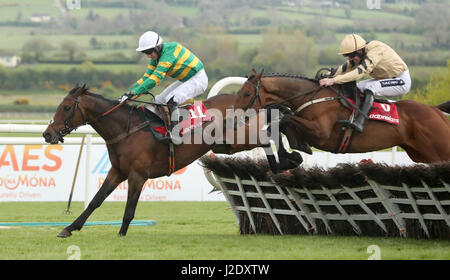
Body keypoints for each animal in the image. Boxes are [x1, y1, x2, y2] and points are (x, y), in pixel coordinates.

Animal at [41, 85, 296, 236]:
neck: (126, 130)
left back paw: (288, 160)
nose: (47, 134)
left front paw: (121, 234)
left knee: (267, 137)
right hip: (227, 144)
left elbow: (129, 210)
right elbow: (96, 200)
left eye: (66, 107)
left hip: (239, 138)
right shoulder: (117, 172)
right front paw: (69, 228)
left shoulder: (137, 176)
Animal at [232, 68, 450, 163]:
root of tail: (436, 111)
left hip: (439, 152)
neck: (312, 96)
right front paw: (294, 149)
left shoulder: (321, 133)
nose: (233, 118)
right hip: (422, 155)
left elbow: (285, 120)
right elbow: (281, 124)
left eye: (247, 94)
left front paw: (295, 150)